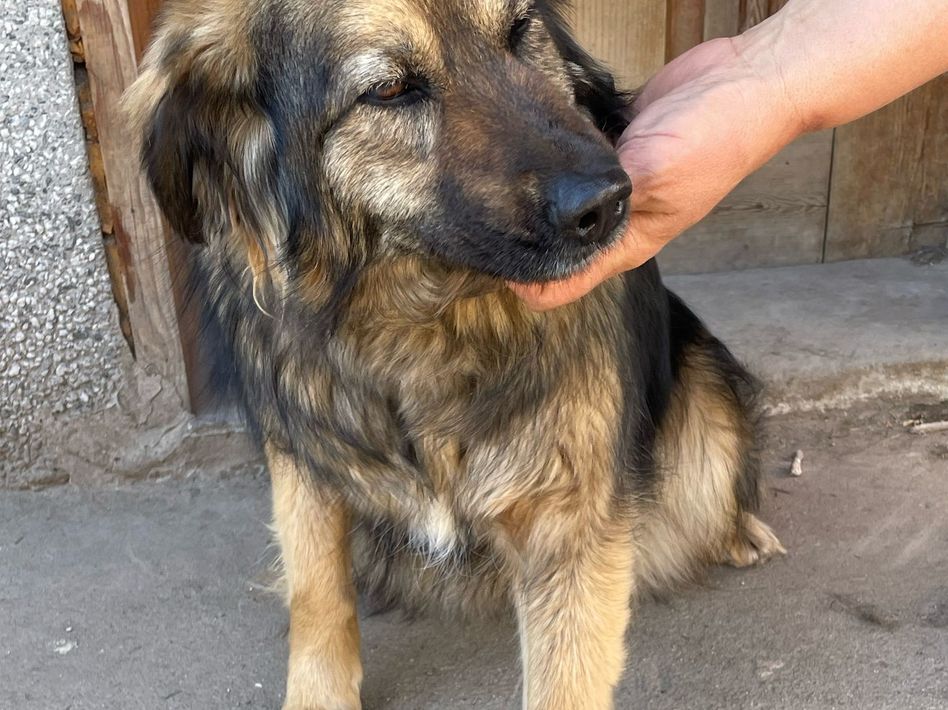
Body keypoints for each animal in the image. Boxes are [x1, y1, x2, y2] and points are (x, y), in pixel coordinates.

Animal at [127, 1, 785, 708]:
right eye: (389, 89)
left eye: (521, 29)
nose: (607, 203)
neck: (424, 322)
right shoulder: (304, 456)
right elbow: (315, 593)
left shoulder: (568, 521)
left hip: (706, 405)